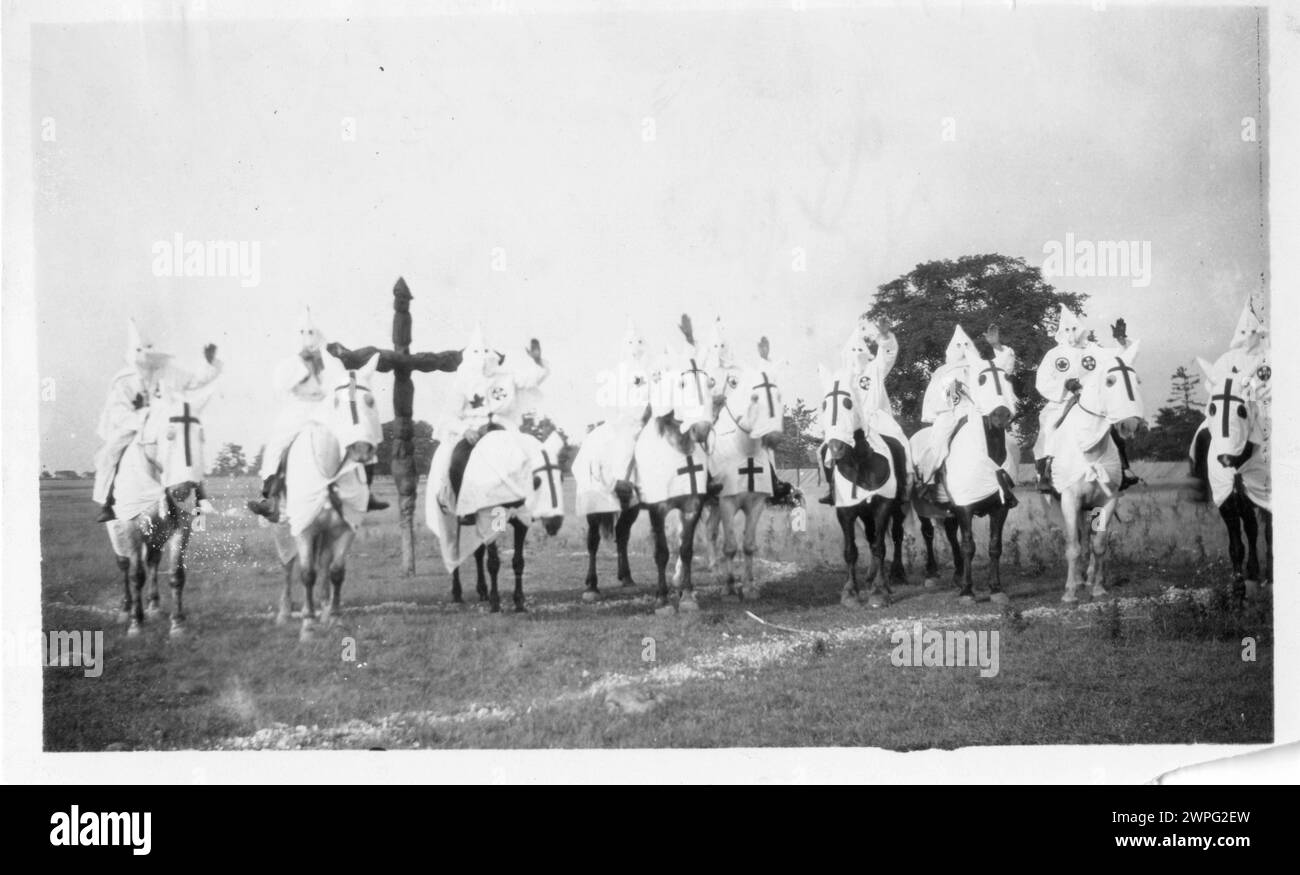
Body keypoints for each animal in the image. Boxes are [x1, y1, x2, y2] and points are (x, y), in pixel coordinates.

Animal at [104, 390, 211, 634]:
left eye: (201, 436)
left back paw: (154, 605)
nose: (182, 491)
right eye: (169, 435)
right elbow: (136, 575)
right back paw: (126, 609)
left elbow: (176, 574)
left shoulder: (182, 527)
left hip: (157, 534)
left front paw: (178, 622)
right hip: (116, 531)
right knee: (124, 564)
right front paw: (136, 623)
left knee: (153, 561)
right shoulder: (131, 527)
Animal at [269, 351, 379, 637]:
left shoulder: (345, 528)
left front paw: (335, 618)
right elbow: (306, 572)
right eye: (337, 402)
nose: (361, 449)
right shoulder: (304, 528)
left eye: (370, 400)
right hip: (284, 525)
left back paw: (325, 606)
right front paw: (308, 625)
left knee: (324, 565)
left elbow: (336, 572)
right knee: (288, 565)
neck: (329, 471)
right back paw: (285, 612)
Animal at [428, 429, 566, 611]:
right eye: (536, 481)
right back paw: (457, 594)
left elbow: (518, 562)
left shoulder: (520, 523)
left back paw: (482, 591)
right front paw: (495, 602)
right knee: (454, 553)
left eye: (561, 478)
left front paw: (519, 602)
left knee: (478, 553)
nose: (555, 522)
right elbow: (493, 563)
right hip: (449, 520)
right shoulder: (489, 522)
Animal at [1050, 340, 1144, 600]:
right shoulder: (1069, 500)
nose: (1129, 424)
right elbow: (1073, 546)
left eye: (1137, 381)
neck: (1089, 449)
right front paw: (1070, 592)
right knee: (1077, 539)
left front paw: (1099, 588)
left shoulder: (1108, 500)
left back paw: (1089, 577)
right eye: (1110, 381)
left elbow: (1099, 544)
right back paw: (1078, 580)